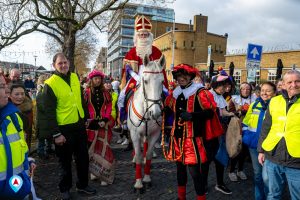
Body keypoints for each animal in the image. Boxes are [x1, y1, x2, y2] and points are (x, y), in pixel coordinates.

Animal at [126, 54, 165, 193]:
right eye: (146, 81)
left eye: (162, 81)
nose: (156, 112)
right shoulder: (135, 133)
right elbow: (137, 155)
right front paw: (138, 184)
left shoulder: (154, 133)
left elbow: (148, 155)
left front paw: (147, 179)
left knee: (145, 144)